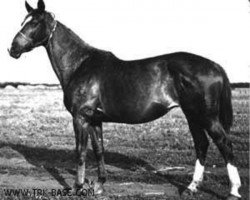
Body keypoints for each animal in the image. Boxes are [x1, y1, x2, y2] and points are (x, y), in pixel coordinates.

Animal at [8, 0, 241, 199]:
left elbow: (80, 153)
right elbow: (98, 150)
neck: (80, 65)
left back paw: (233, 191)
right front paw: (99, 185)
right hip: (192, 115)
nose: (13, 49)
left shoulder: (80, 118)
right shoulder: (95, 120)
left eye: (35, 22)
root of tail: (214, 65)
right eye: (23, 21)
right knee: (201, 144)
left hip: (206, 117)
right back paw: (192, 187)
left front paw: (78, 187)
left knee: (224, 144)